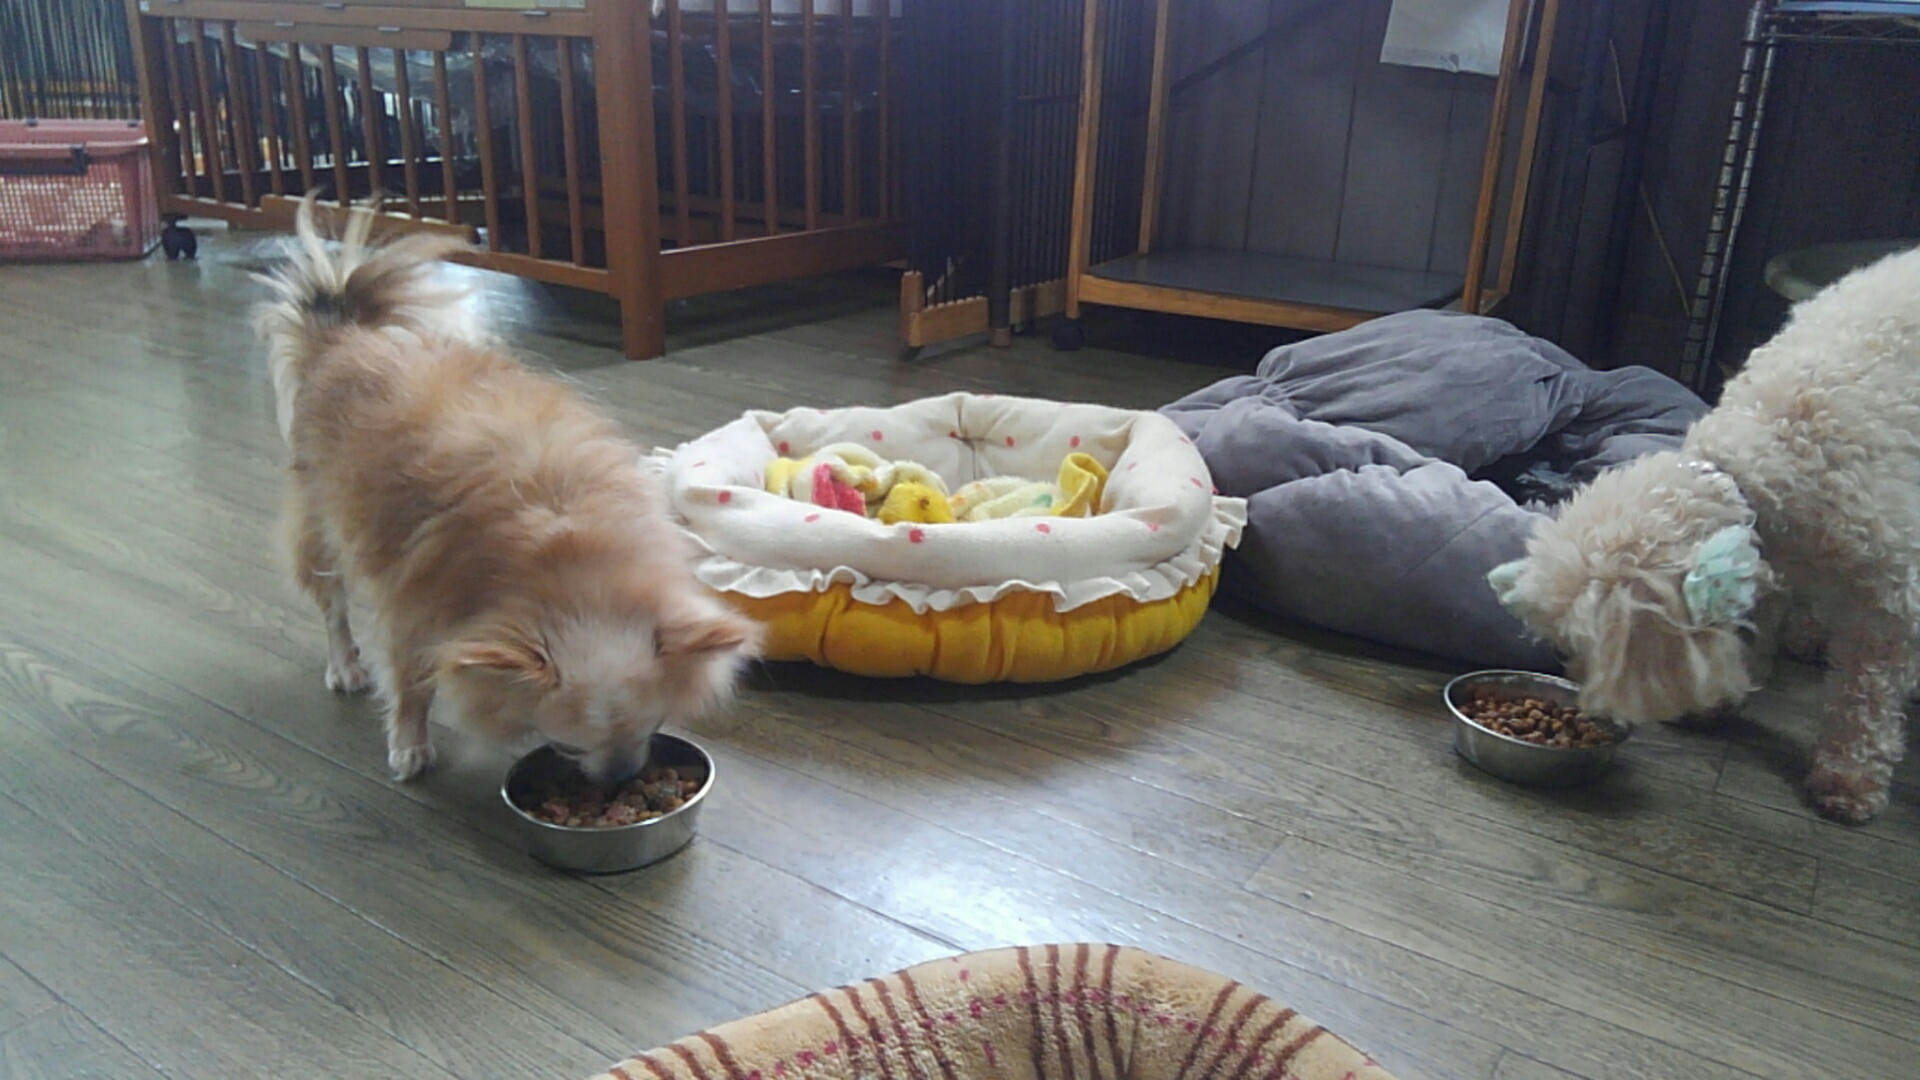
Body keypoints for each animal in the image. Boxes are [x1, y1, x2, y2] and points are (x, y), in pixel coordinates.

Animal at [253, 199, 759, 782]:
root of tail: (345, 335)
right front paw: (409, 746)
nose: (619, 780)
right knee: (332, 605)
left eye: (654, 729)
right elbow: (408, 681)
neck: (574, 554)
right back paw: (345, 667)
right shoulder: (414, 606)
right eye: (568, 748)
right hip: (322, 525)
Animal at [1490, 244, 1920, 824]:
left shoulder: (1889, 603)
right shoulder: (1773, 563)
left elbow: (1864, 696)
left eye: (1580, 643)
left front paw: (1849, 777)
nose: (1570, 677)